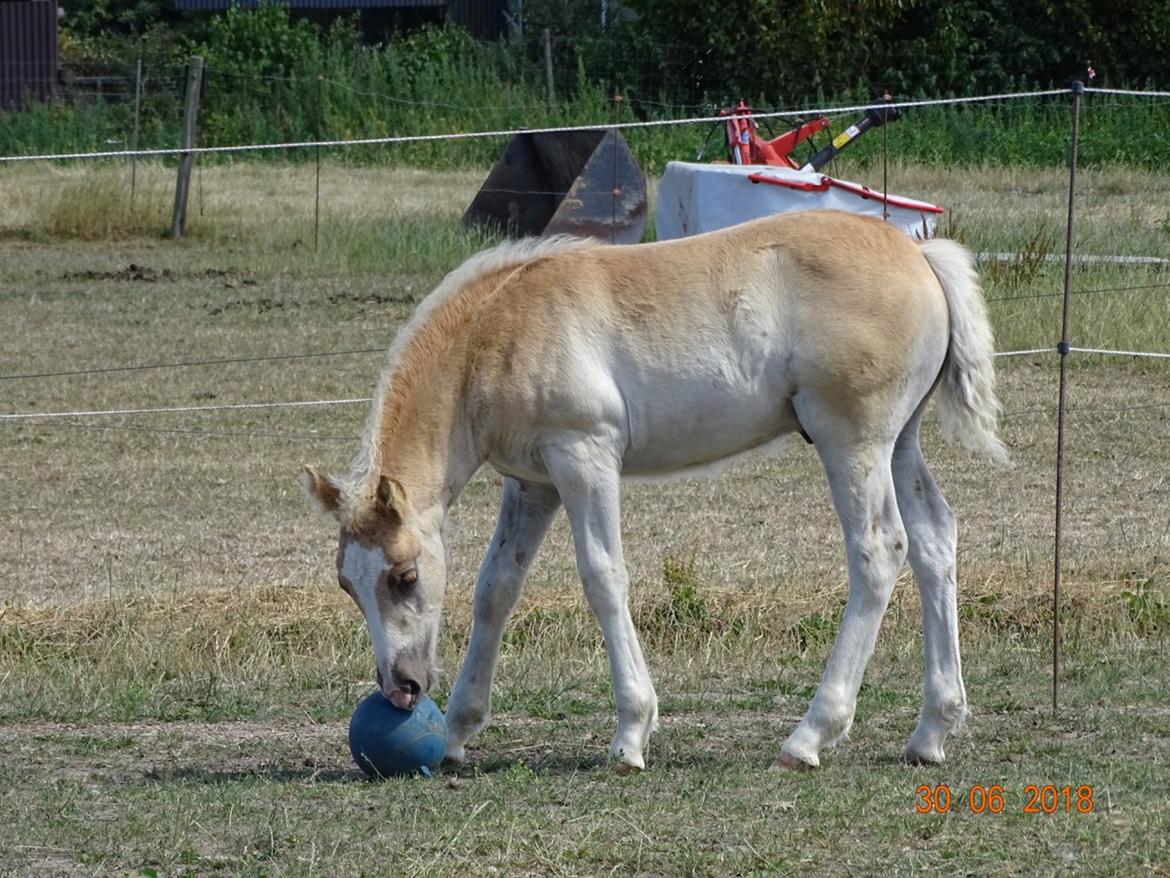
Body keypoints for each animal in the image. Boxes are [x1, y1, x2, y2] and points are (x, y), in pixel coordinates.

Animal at [304, 211, 1006, 767]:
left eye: (403, 577)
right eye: (346, 584)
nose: (401, 688)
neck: (495, 332)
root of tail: (919, 254)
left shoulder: (584, 456)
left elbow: (603, 576)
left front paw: (631, 734)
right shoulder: (532, 482)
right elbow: (495, 588)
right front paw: (454, 733)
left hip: (851, 440)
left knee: (878, 550)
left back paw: (809, 735)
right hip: (900, 441)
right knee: (933, 540)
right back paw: (932, 731)